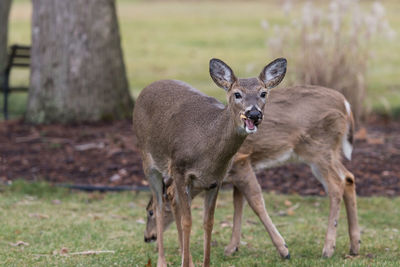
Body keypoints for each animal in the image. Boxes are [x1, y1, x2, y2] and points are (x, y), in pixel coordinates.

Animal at [134, 58, 288, 267]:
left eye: (263, 93)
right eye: (237, 94)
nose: (254, 114)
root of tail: (147, 88)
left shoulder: (216, 180)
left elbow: (209, 223)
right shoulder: (180, 170)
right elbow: (187, 221)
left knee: (171, 201)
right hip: (148, 162)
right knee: (158, 205)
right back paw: (162, 261)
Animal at [144, 84, 360, 260]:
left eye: (150, 212)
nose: (148, 237)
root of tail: (347, 105)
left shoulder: (240, 162)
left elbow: (256, 202)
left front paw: (283, 249)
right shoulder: (235, 173)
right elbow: (238, 202)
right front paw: (232, 247)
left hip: (318, 148)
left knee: (336, 185)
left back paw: (328, 249)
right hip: (328, 151)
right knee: (349, 177)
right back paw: (354, 245)